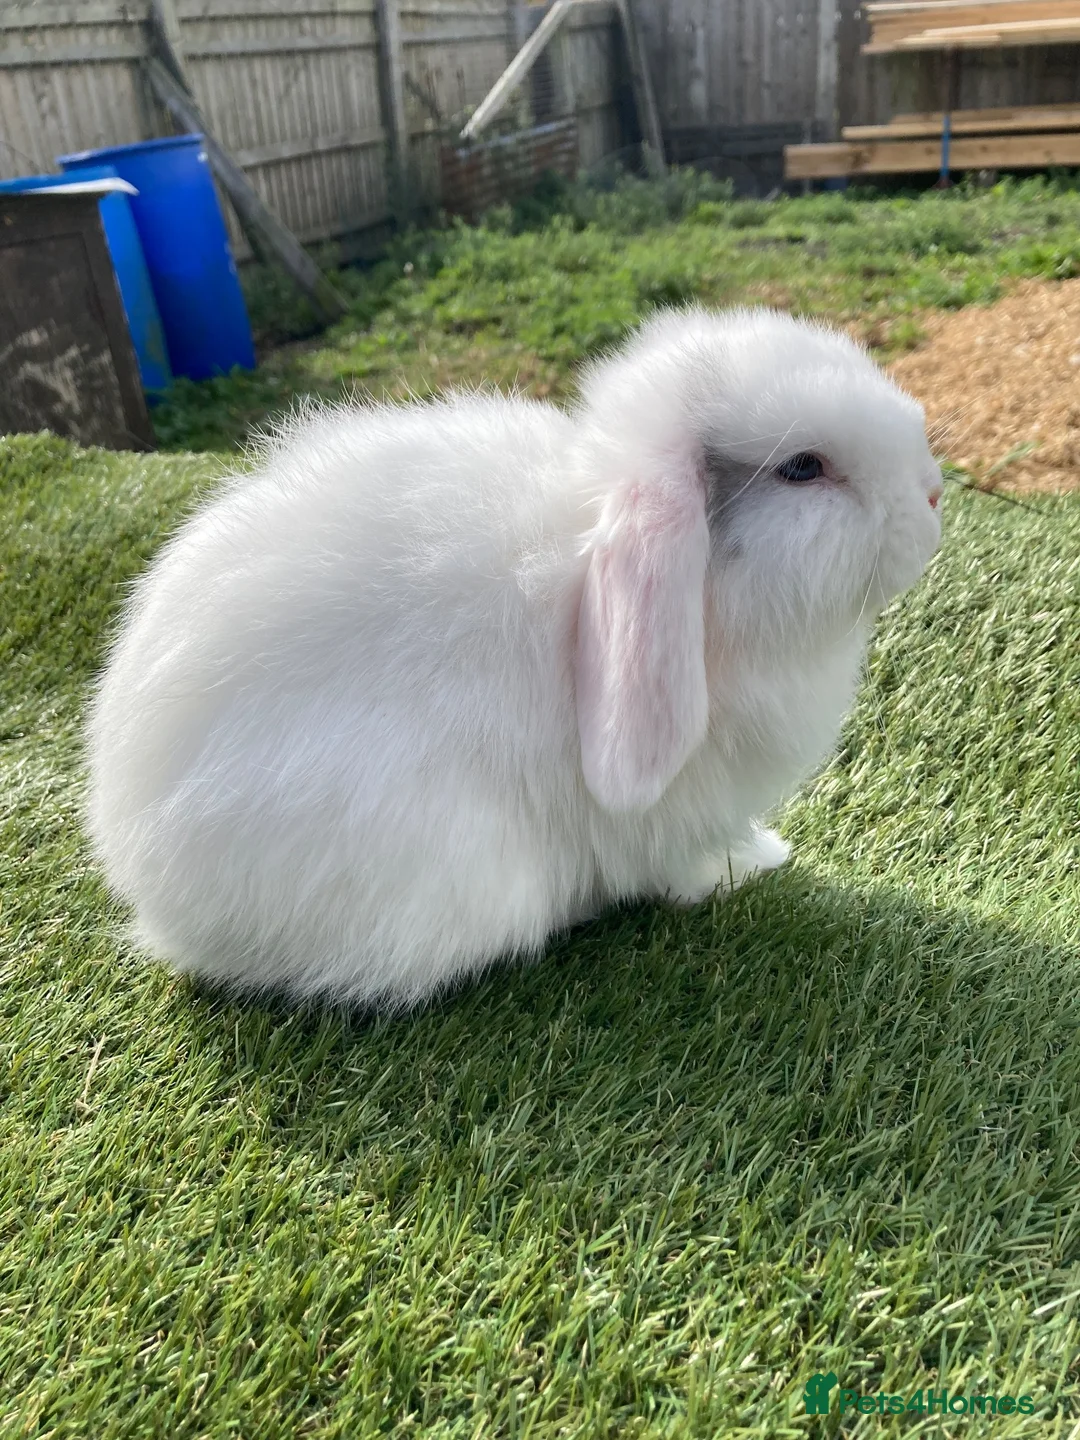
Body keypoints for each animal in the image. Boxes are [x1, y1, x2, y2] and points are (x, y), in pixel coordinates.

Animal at [85, 306, 943, 1010]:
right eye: (803, 467)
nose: (934, 495)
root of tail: (146, 886)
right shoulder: (668, 817)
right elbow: (680, 865)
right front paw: (745, 867)